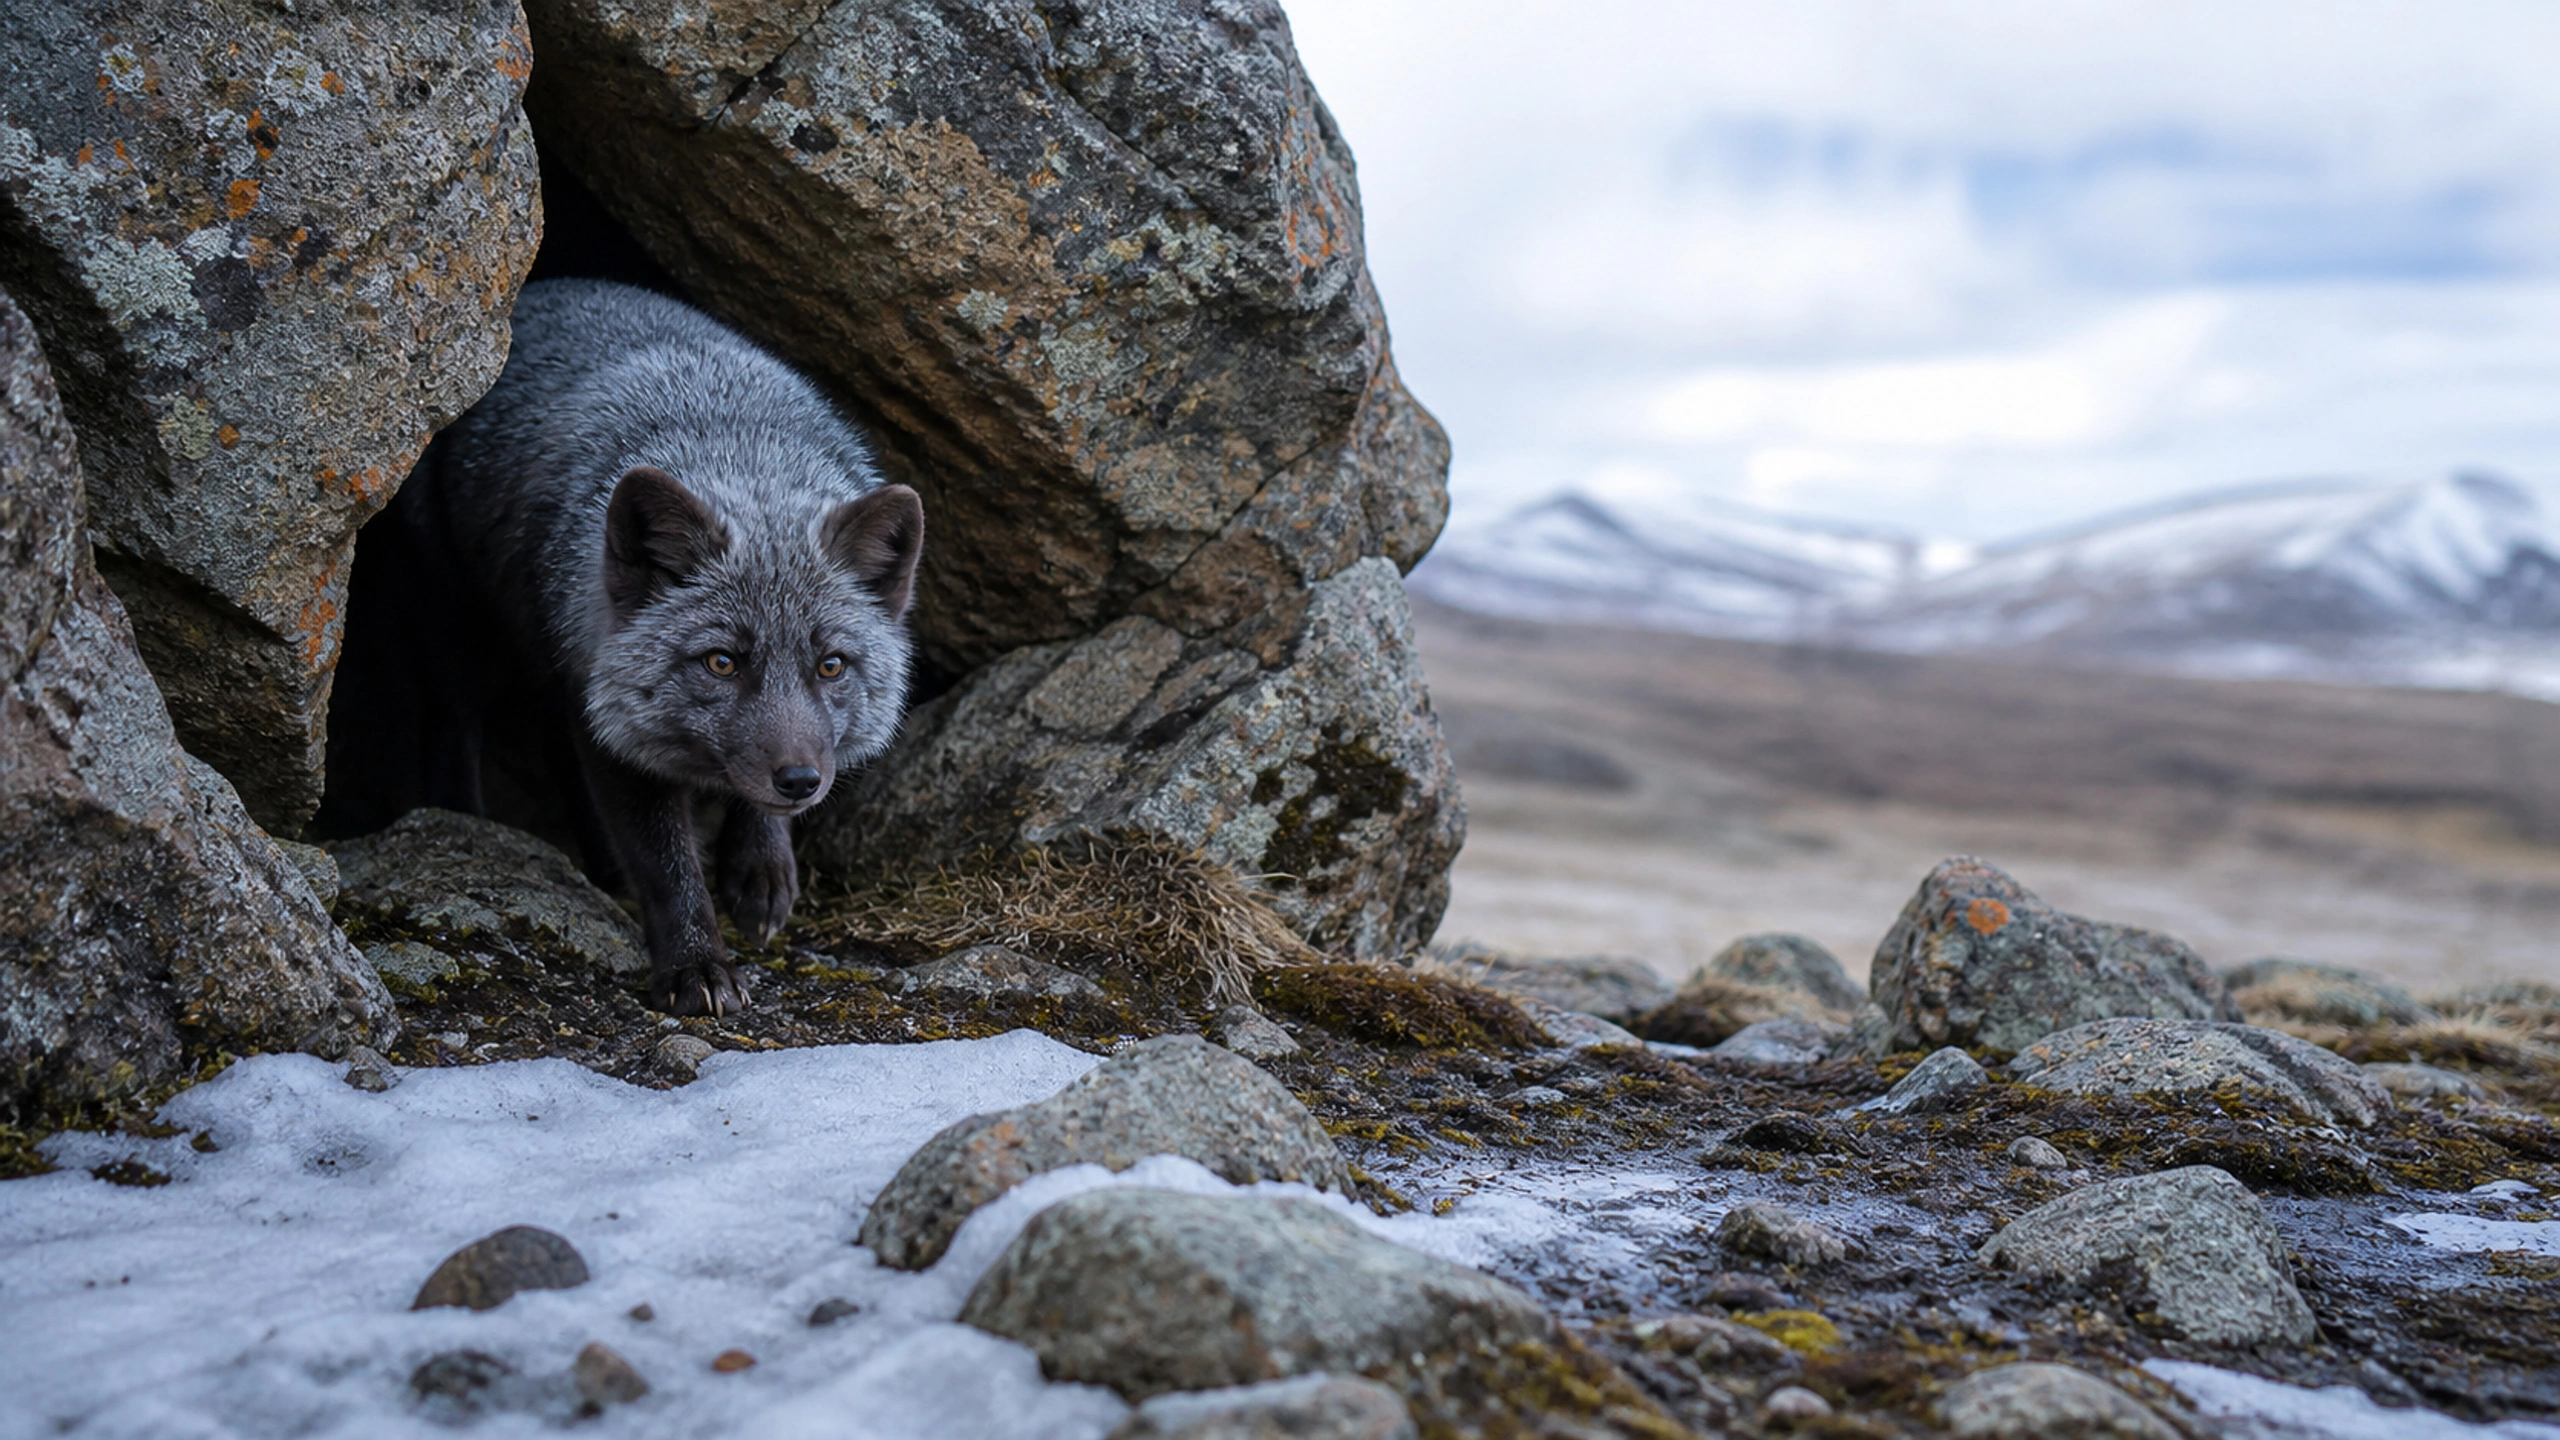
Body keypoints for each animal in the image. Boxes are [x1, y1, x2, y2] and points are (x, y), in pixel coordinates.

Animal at [373, 277, 923, 1016]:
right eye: (722, 662)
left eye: (830, 665)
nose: (801, 782)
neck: (733, 440)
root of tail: (544, 288)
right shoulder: (617, 731)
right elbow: (666, 867)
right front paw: (696, 966)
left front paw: (759, 869)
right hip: (463, 637)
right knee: (457, 726)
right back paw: (466, 823)